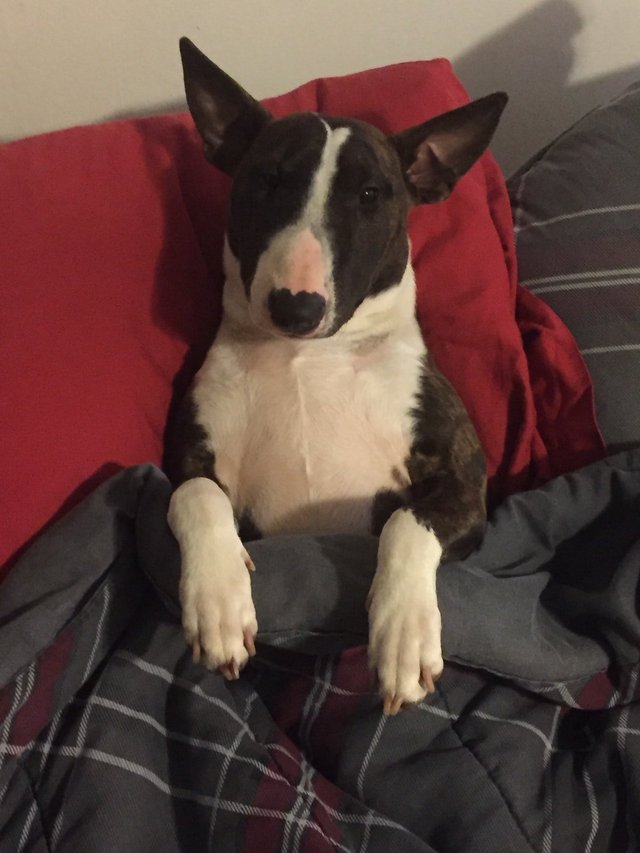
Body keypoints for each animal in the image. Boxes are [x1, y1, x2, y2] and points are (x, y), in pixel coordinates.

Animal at [168, 40, 508, 716]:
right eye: (268, 179)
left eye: (372, 194)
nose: (295, 308)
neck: (309, 357)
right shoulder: (193, 453)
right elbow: (193, 494)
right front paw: (218, 605)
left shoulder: (464, 486)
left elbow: (408, 523)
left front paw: (403, 638)